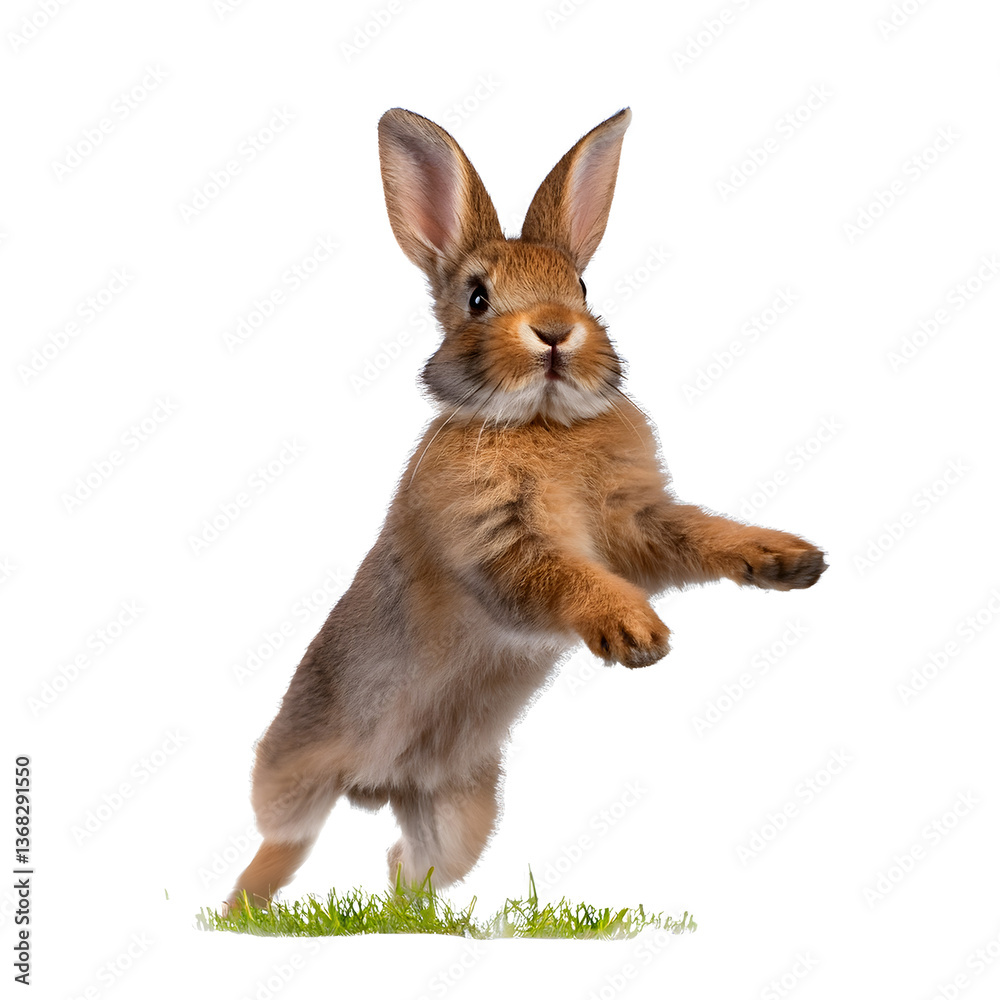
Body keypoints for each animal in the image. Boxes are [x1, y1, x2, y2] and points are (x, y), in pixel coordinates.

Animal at [223, 106, 827, 912]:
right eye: (477, 297)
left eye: (581, 285)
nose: (554, 331)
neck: (540, 422)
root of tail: (378, 784)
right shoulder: (496, 545)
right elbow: (560, 576)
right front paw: (635, 632)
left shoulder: (635, 522)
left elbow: (697, 534)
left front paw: (787, 558)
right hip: (298, 764)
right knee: (284, 842)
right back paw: (239, 911)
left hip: (458, 812)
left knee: (408, 866)